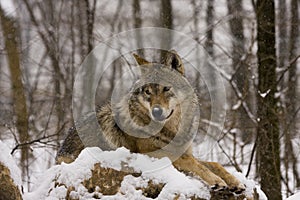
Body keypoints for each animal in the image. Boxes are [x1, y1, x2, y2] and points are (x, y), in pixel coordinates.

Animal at [56, 50, 246, 194]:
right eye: (147, 91)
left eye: (166, 88)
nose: (156, 111)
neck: (173, 130)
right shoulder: (156, 156)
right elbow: (194, 164)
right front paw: (217, 181)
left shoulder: (185, 152)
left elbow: (214, 163)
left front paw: (235, 181)